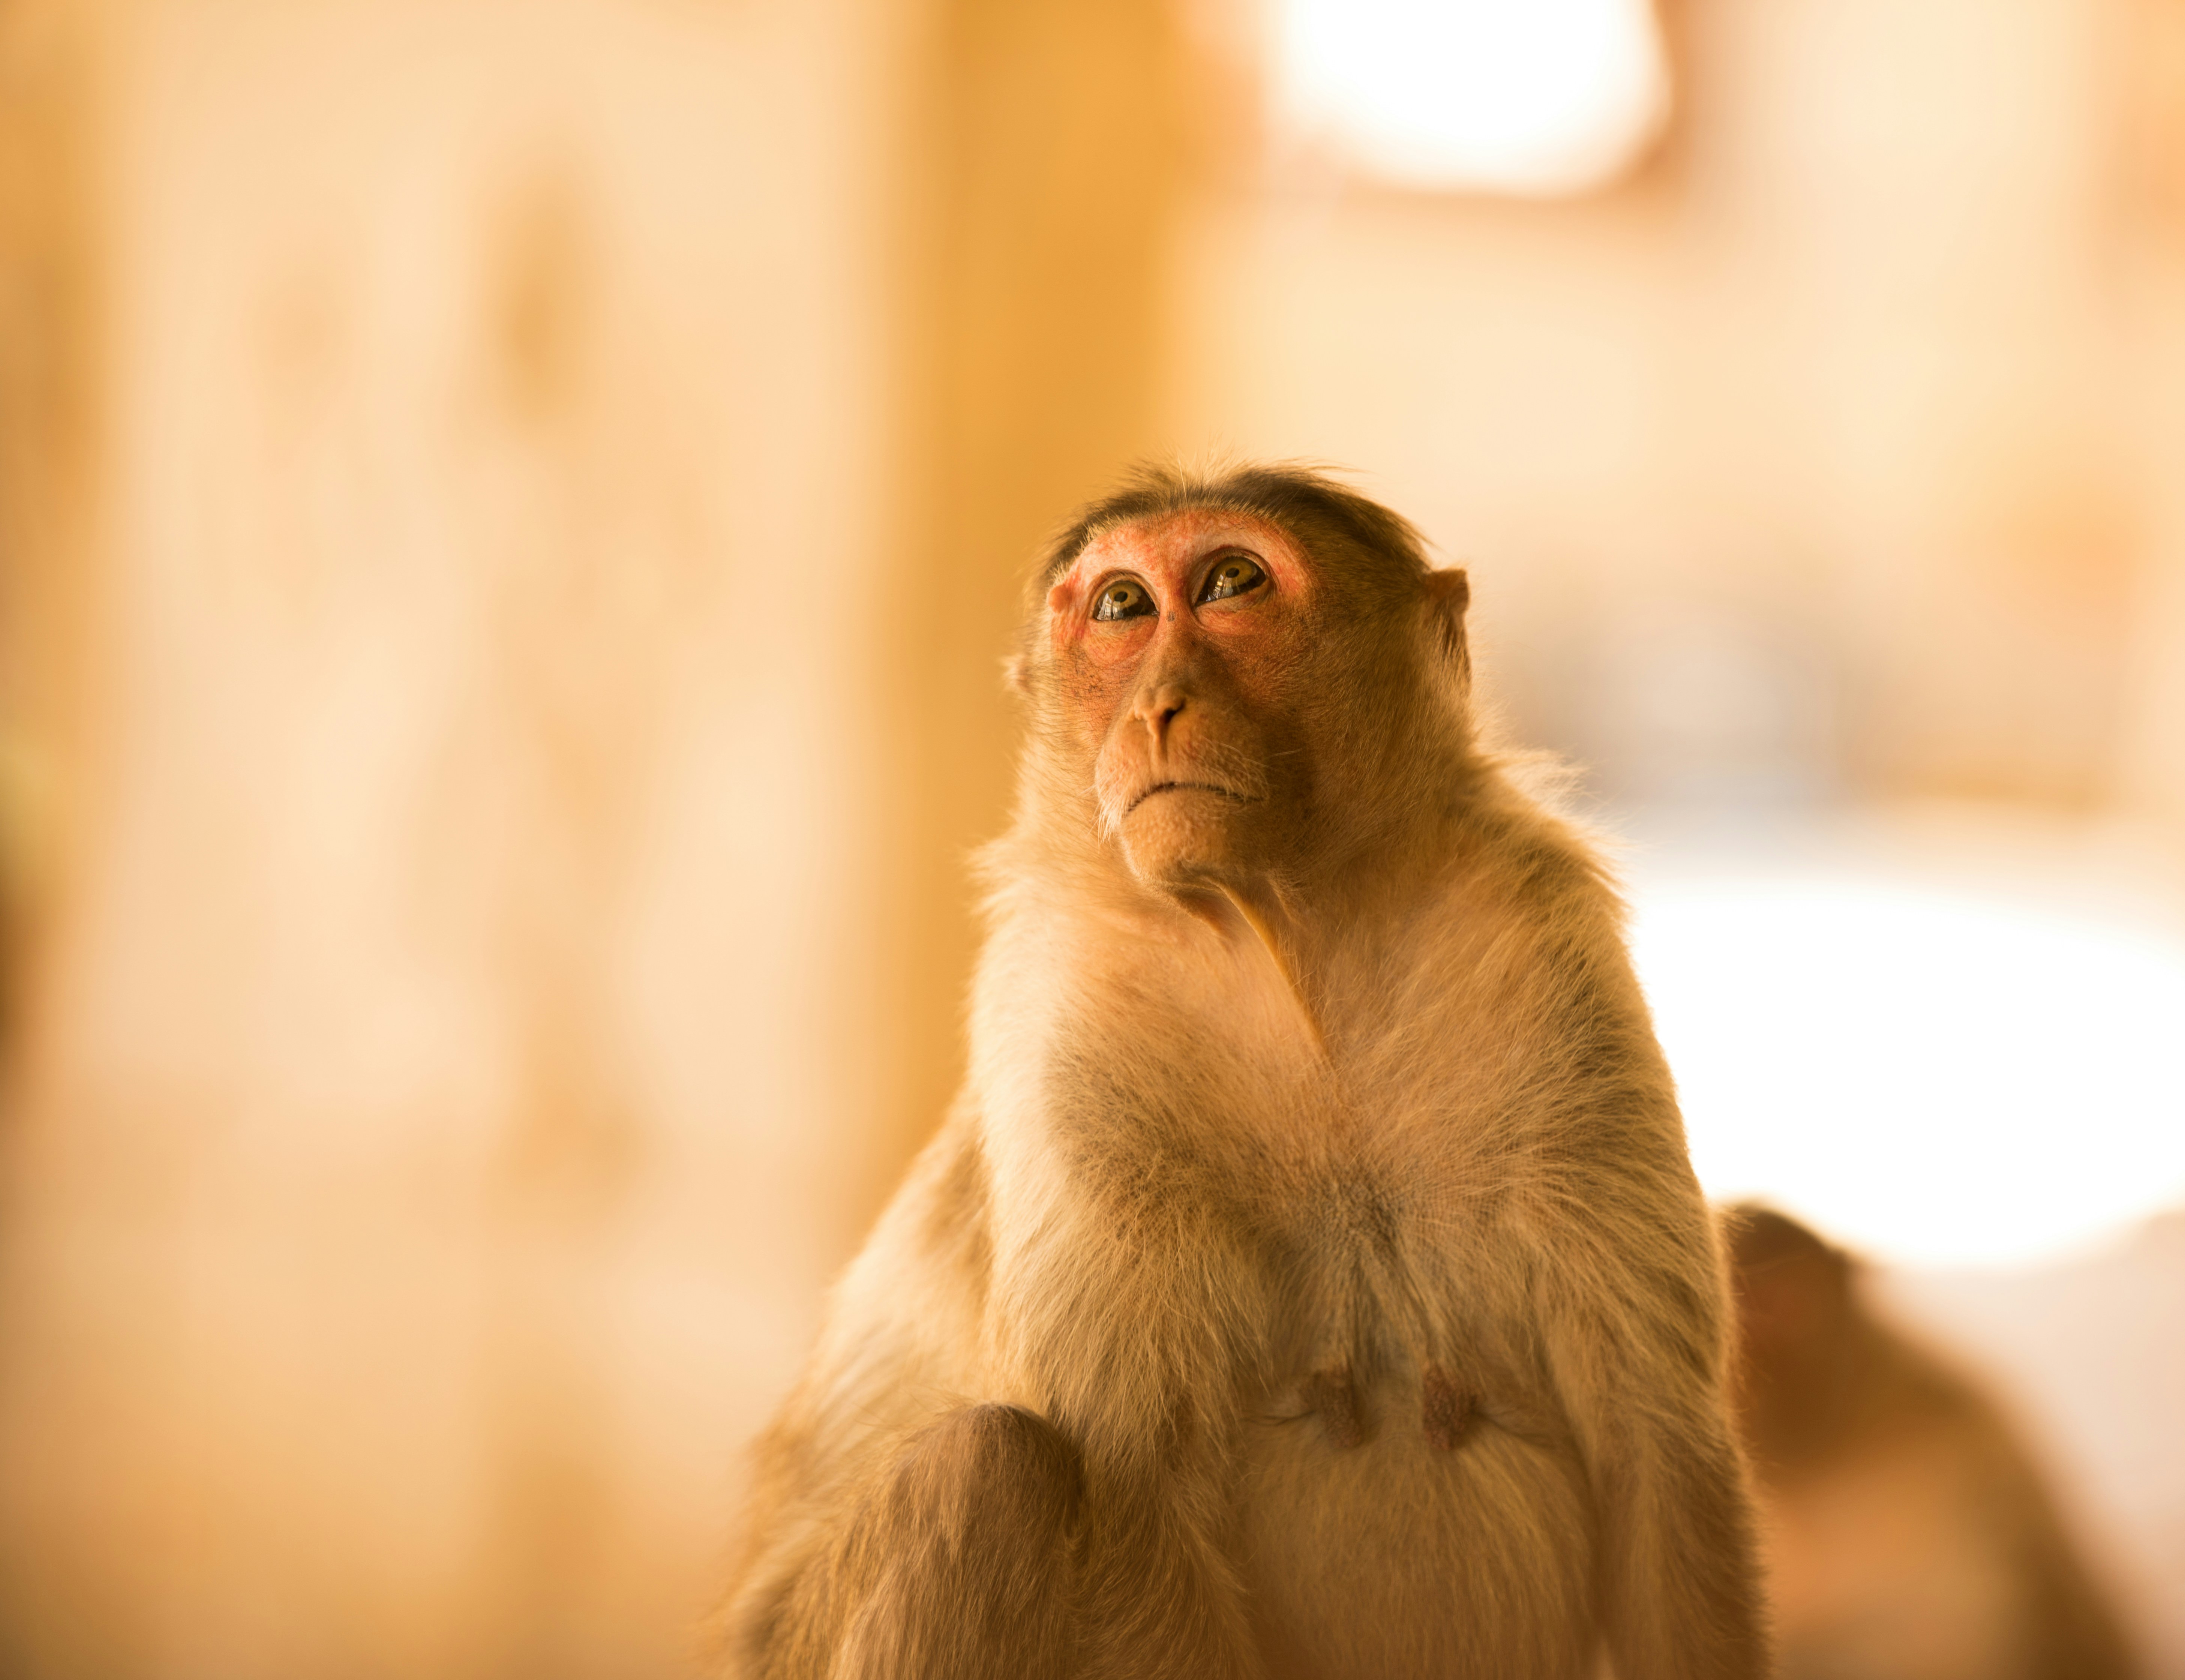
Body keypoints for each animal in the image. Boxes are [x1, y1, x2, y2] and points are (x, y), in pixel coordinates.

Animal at [719, 464, 1769, 1679]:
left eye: (1231, 584)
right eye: (1122, 607)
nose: (1156, 706)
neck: (1292, 945)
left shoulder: (1548, 950)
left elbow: (1654, 1449)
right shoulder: (1064, 1016)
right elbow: (1140, 1496)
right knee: (984, 1470)